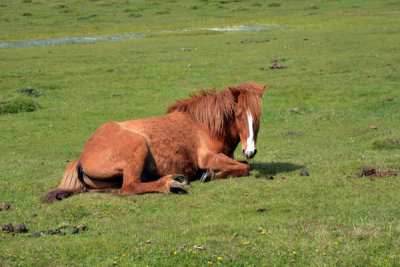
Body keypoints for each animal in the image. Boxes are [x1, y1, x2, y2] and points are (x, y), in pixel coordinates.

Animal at [45, 82, 266, 203]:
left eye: (257, 116)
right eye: (238, 115)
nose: (250, 151)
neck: (204, 125)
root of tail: (81, 159)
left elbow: (241, 165)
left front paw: (211, 174)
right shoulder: (208, 157)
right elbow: (245, 168)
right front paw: (210, 175)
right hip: (138, 147)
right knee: (130, 187)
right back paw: (172, 184)